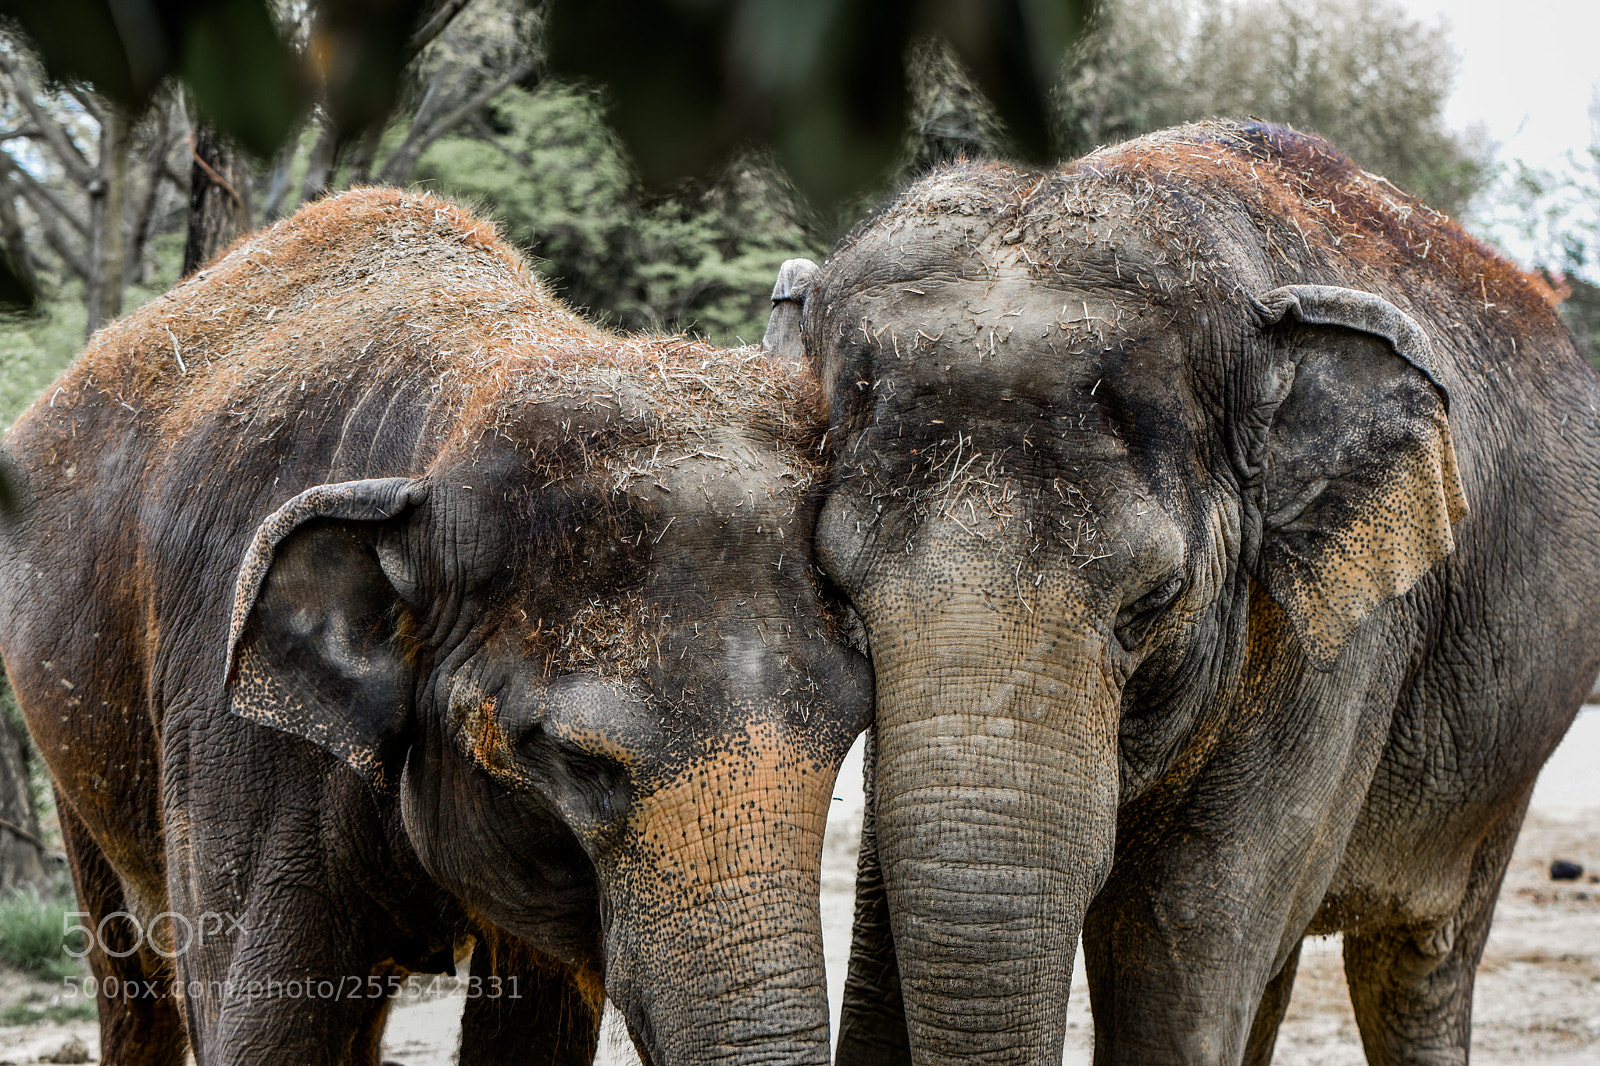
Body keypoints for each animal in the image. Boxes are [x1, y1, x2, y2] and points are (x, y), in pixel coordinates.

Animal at [0, 188, 869, 1066]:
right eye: (575, 761)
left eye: (849, 732)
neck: (460, 411)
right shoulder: (223, 721)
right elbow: (261, 1032)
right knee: (132, 978)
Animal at [766, 120, 1600, 1065]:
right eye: (837, 594)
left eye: (1152, 604)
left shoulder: (1339, 644)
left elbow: (1176, 954)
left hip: (1509, 750)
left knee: (1419, 960)